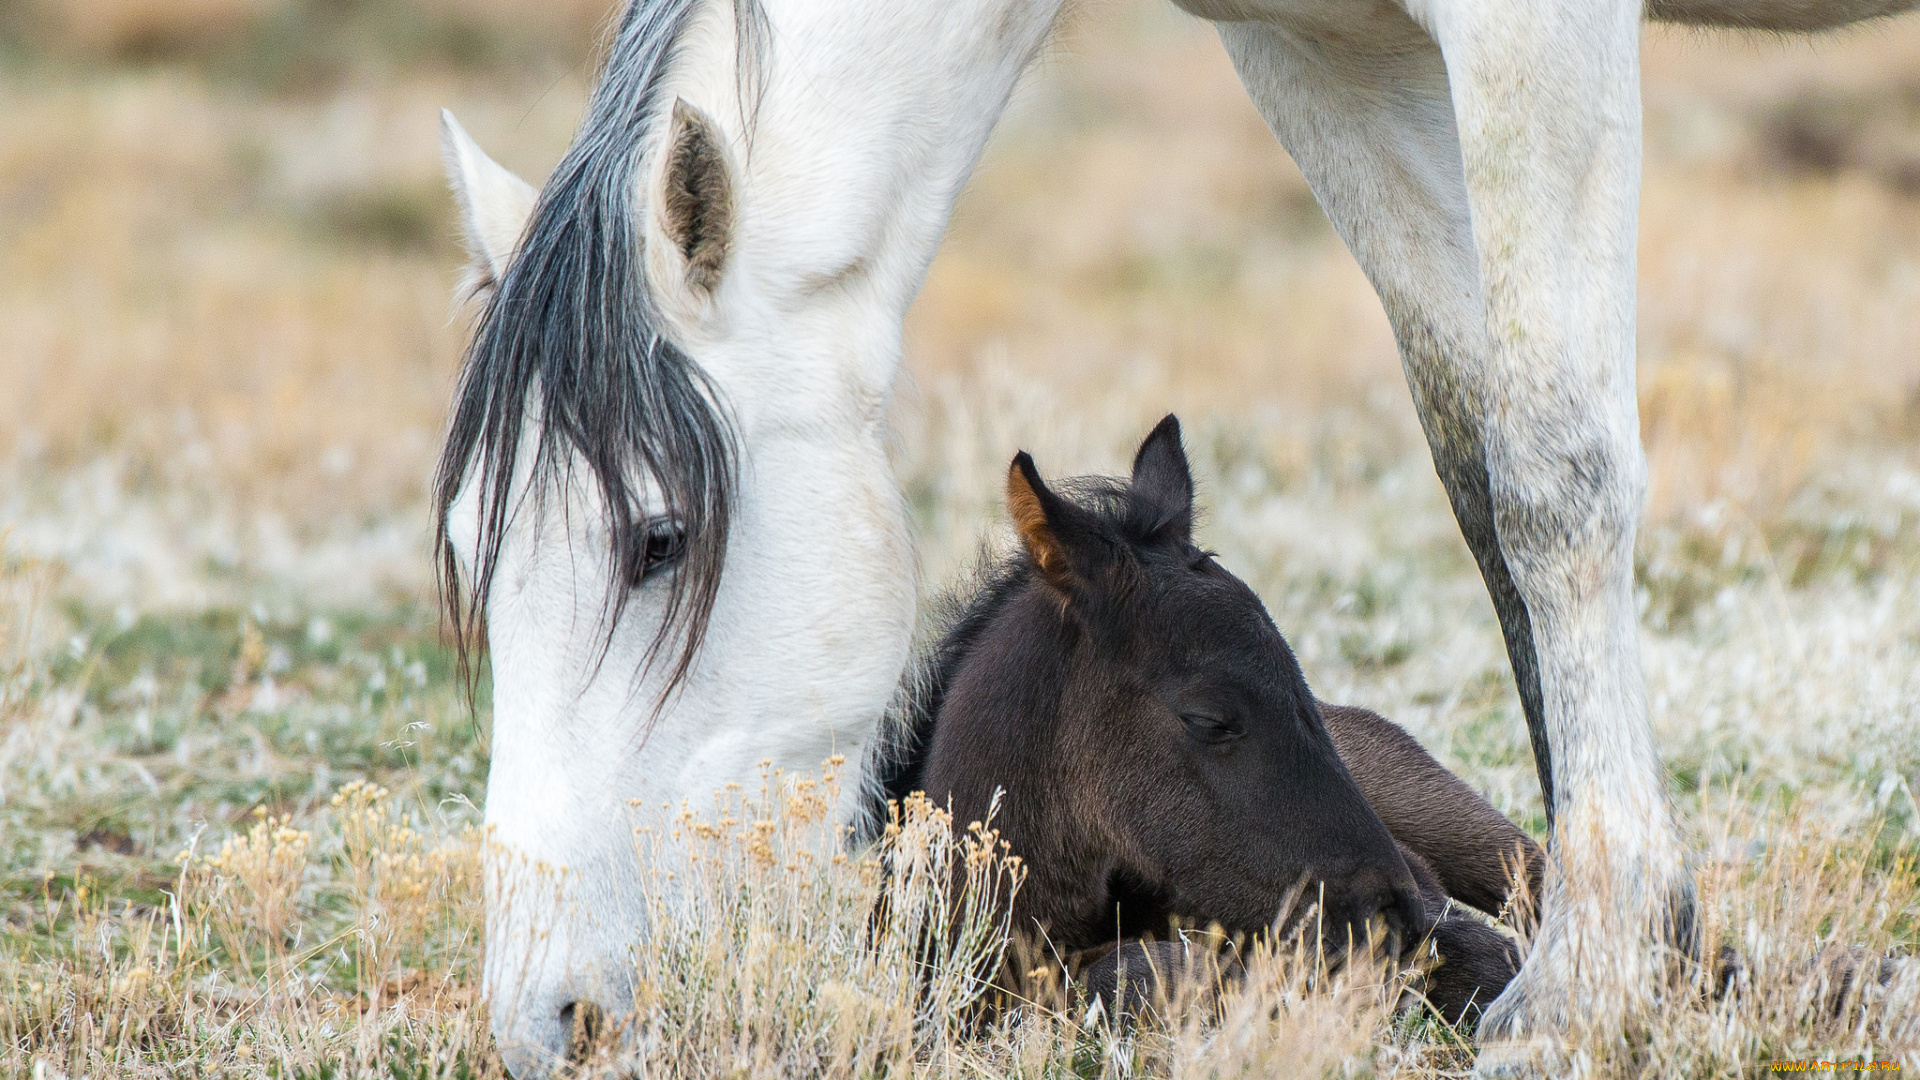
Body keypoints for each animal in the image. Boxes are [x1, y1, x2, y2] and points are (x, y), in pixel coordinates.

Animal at [439, 0, 1920, 1060]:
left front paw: (1594, 981)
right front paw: (1640, 965)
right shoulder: (1322, 40)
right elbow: (1472, 458)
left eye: (658, 539)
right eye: (464, 551)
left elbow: (1554, 473)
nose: (546, 1015)